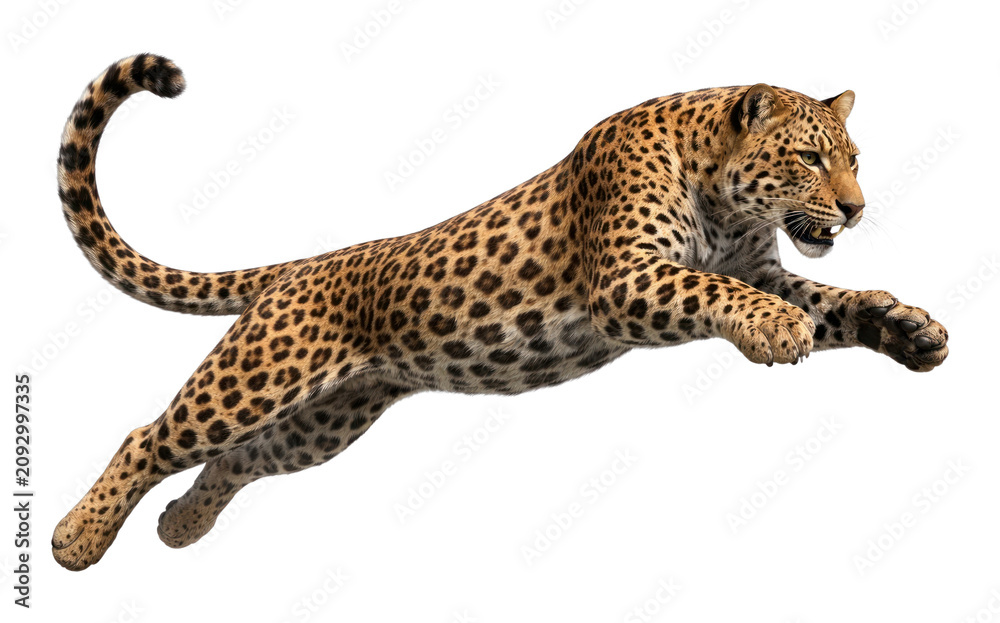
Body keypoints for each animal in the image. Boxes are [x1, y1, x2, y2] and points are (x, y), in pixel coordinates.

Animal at [52, 54, 948, 571]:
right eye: (810, 159)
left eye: (854, 159)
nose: (857, 209)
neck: (725, 202)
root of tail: (300, 268)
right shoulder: (627, 280)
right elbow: (724, 295)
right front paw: (775, 330)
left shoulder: (764, 266)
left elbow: (837, 302)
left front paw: (909, 328)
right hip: (260, 374)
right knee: (151, 436)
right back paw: (76, 539)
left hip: (326, 418)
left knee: (236, 460)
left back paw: (180, 527)